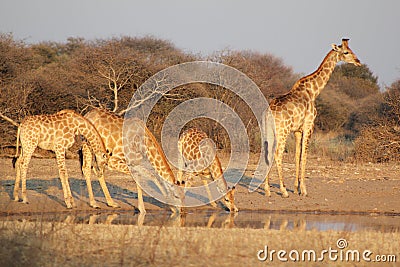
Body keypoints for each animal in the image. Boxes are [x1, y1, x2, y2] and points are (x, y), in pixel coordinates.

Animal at [264, 38, 360, 198]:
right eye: (346, 52)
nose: (358, 62)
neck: (313, 91)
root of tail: (268, 112)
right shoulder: (309, 125)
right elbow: (304, 155)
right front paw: (303, 190)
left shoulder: (297, 130)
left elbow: (297, 155)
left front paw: (296, 188)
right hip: (282, 131)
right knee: (277, 154)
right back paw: (283, 191)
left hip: (269, 132)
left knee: (267, 153)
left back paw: (267, 190)